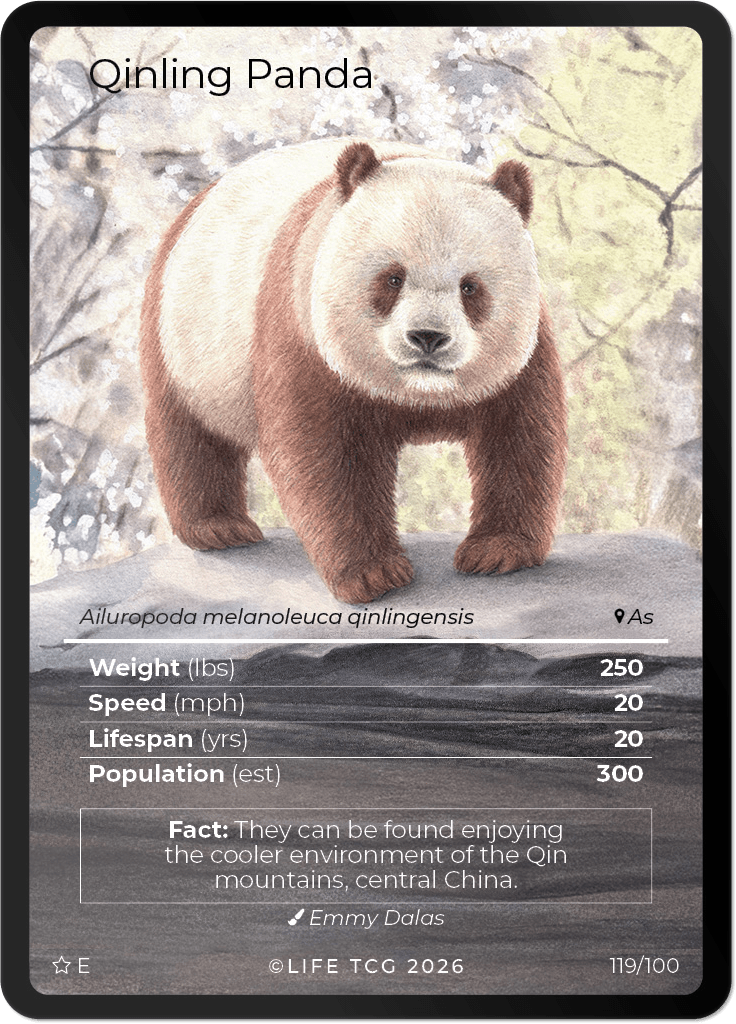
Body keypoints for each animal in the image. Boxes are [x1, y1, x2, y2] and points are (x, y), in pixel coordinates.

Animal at [140, 138, 567, 604]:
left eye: (470, 287)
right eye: (393, 278)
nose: (428, 338)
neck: (417, 393)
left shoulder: (522, 354)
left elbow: (520, 437)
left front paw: (498, 551)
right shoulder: (305, 330)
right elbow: (323, 456)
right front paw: (372, 575)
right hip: (184, 333)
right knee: (188, 433)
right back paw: (218, 528)